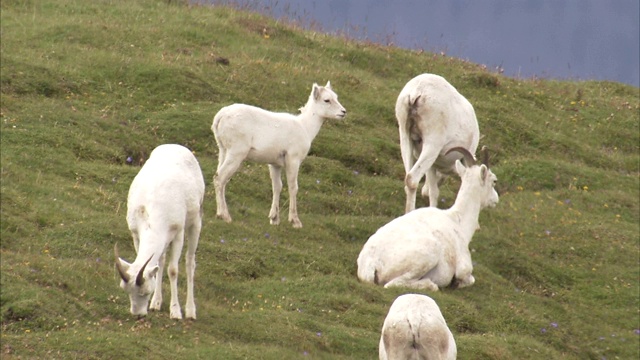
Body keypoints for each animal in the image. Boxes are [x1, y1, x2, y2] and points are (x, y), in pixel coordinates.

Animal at [114, 143, 205, 318]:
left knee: (190, 261)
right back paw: (156, 303)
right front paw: (156, 303)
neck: (151, 211)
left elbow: (173, 270)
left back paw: (191, 311)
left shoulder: (178, 233)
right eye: (127, 291)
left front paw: (175, 312)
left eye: (144, 292)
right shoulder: (136, 234)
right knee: (161, 260)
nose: (138, 314)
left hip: (195, 221)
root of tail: (176, 146)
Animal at [212, 81, 348, 228]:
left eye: (336, 97)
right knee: (220, 178)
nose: (343, 112)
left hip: (223, 149)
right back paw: (225, 216)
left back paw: (220, 213)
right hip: (236, 152)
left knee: (221, 178)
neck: (306, 127)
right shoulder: (293, 159)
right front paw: (295, 221)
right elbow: (293, 187)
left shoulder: (274, 164)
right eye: (327, 100)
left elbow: (277, 187)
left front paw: (274, 218)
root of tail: (221, 116)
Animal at [358, 148, 498, 292]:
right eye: (494, 181)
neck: (458, 220)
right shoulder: (464, 269)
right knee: (392, 284)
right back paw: (431, 284)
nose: (495, 200)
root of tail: (371, 264)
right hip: (429, 254)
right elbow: (470, 279)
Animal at [396, 73, 480, 214]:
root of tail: (417, 92)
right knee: (412, 179)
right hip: (432, 144)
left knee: (408, 179)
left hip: (404, 135)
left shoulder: (432, 165)